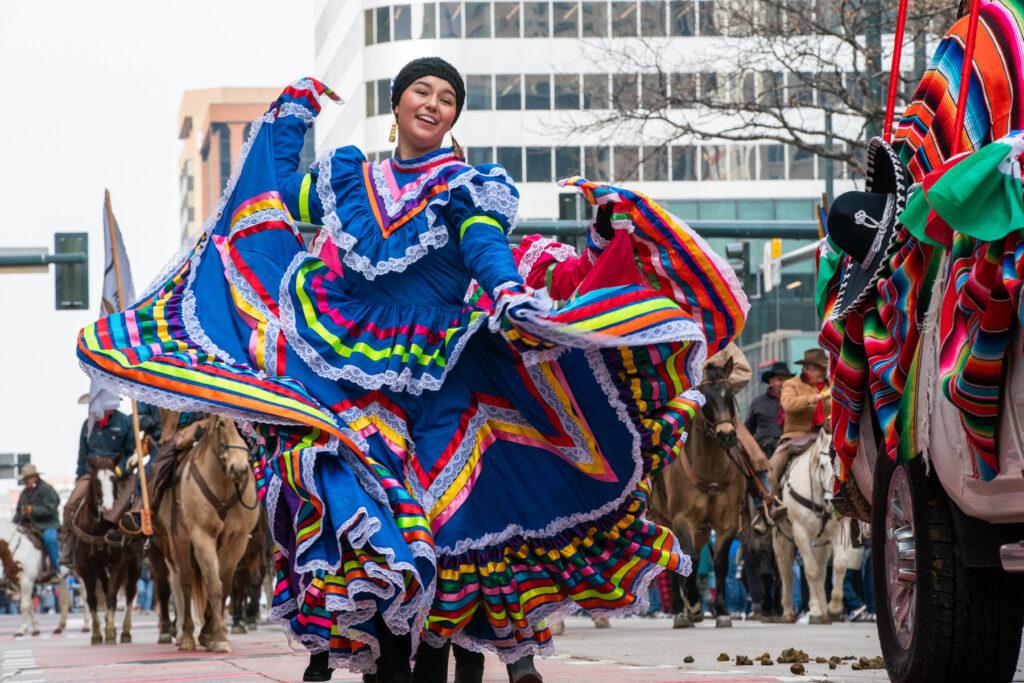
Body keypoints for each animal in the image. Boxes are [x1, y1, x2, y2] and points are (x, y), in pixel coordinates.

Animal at [67, 458, 143, 647]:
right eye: (96, 481)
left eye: (114, 479)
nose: (109, 509)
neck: (98, 528)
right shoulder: (86, 568)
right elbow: (92, 600)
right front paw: (96, 634)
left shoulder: (117, 564)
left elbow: (111, 598)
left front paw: (109, 633)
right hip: (101, 570)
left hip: (134, 564)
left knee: (129, 593)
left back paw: (124, 631)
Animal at [154, 413, 262, 655]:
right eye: (221, 423)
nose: (239, 468)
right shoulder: (202, 536)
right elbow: (213, 585)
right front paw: (219, 637)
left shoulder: (237, 541)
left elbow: (225, 584)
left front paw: (210, 634)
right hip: (179, 542)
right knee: (185, 582)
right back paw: (186, 636)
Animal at [651, 360, 749, 626]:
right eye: (705, 398)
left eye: (729, 394)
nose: (726, 435)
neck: (711, 471)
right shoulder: (683, 519)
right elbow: (692, 559)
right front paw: (693, 605)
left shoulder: (727, 523)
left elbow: (721, 563)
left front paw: (722, 612)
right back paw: (680, 610)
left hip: (704, 530)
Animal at [770, 432, 851, 626]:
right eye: (822, 466)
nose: (833, 502)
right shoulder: (801, 534)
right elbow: (811, 571)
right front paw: (814, 610)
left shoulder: (838, 533)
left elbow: (839, 565)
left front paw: (834, 608)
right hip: (782, 539)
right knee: (786, 572)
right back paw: (789, 612)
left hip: (822, 545)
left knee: (822, 571)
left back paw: (824, 610)